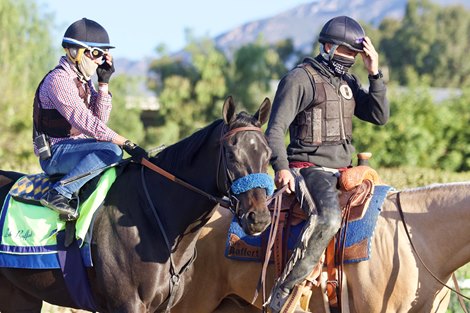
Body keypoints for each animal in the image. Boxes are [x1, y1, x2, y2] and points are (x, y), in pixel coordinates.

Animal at [0, 96, 274, 310]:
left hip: (20, 294)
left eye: (268, 154)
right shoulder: (128, 304)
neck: (153, 216)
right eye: (231, 154)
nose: (258, 217)